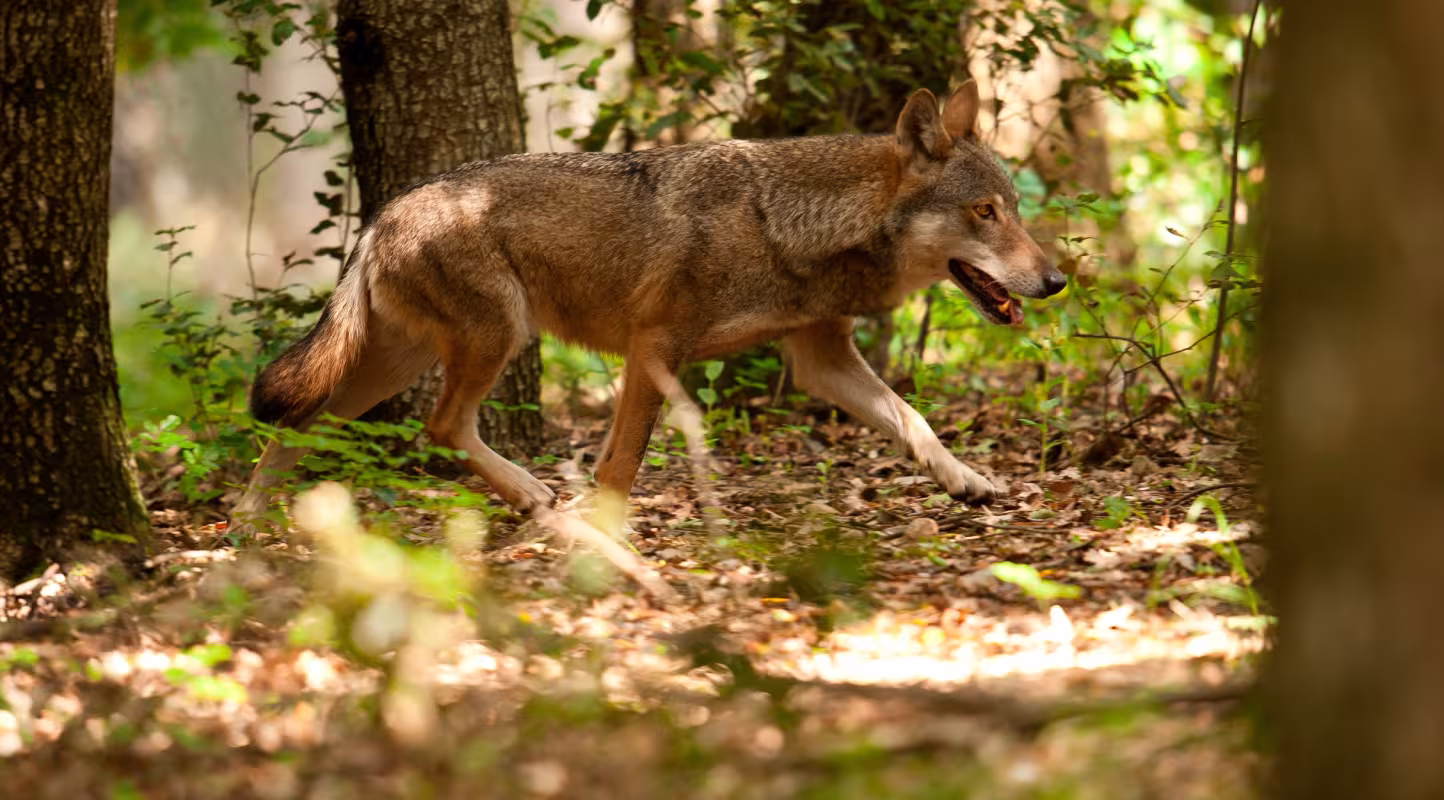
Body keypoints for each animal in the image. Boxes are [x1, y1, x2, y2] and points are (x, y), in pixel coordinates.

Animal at [230, 81, 1066, 527]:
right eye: (985, 213)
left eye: (1016, 210)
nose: (1056, 281)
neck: (792, 223)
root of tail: (384, 212)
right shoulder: (655, 348)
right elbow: (622, 462)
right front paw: (611, 540)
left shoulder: (820, 360)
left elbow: (913, 418)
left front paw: (965, 480)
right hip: (494, 339)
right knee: (439, 427)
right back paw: (533, 495)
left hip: (393, 365)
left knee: (304, 422)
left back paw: (247, 525)